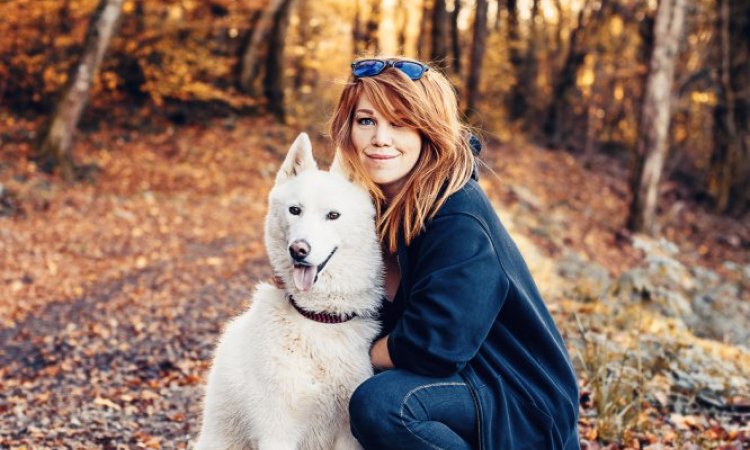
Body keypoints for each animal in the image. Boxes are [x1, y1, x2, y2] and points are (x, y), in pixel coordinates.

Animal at [195, 132, 382, 448]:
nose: (298, 250)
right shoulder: (277, 429)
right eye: (295, 210)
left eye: (333, 215)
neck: (318, 317)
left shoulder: (348, 433)